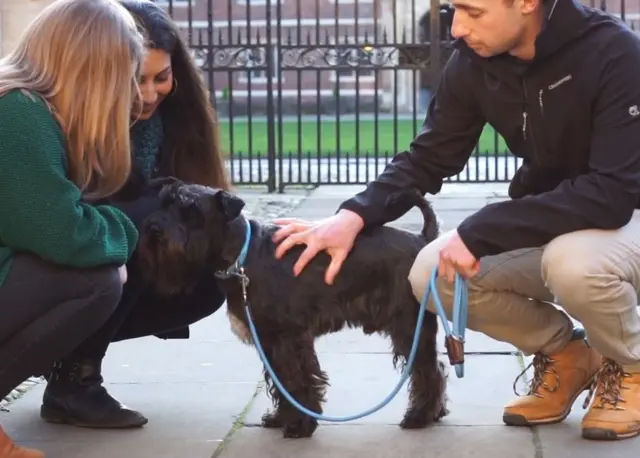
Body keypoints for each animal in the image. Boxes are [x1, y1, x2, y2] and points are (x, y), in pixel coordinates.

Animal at [138, 179, 448, 436]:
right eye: (164, 202)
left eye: (190, 209)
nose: (153, 229)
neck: (241, 257)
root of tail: (422, 240)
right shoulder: (268, 341)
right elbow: (280, 382)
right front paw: (280, 418)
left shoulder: (289, 338)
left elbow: (298, 380)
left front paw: (300, 425)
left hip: (409, 327)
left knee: (427, 370)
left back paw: (419, 417)